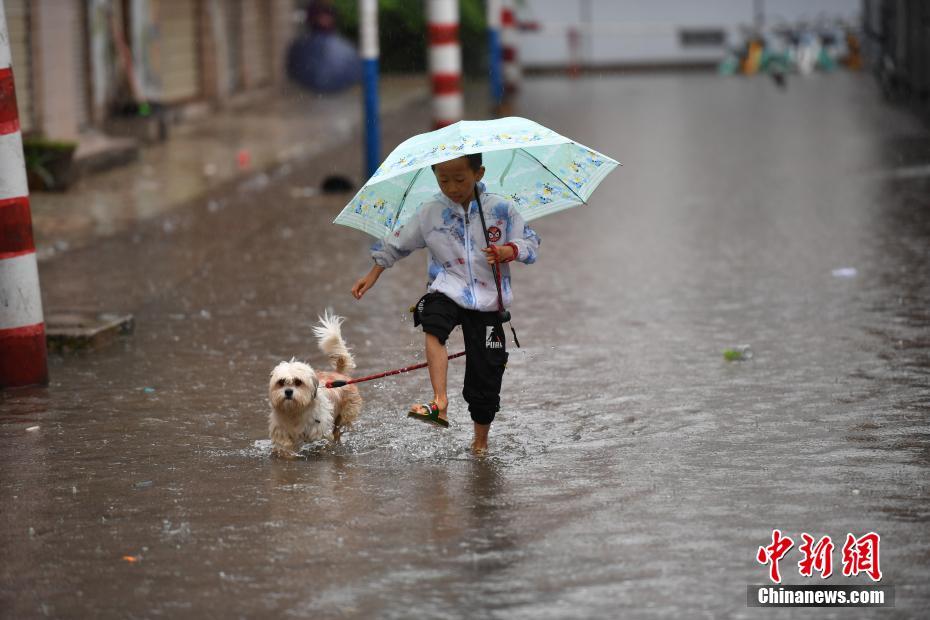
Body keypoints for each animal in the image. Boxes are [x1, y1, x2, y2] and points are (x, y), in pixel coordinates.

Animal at [266, 312, 360, 458]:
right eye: (281, 382)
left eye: (298, 382)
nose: (288, 391)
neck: (296, 411)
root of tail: (339, 374)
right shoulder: (281, 434)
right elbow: (285, 448)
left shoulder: (319, 433)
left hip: (344, 416)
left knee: (337, 430)